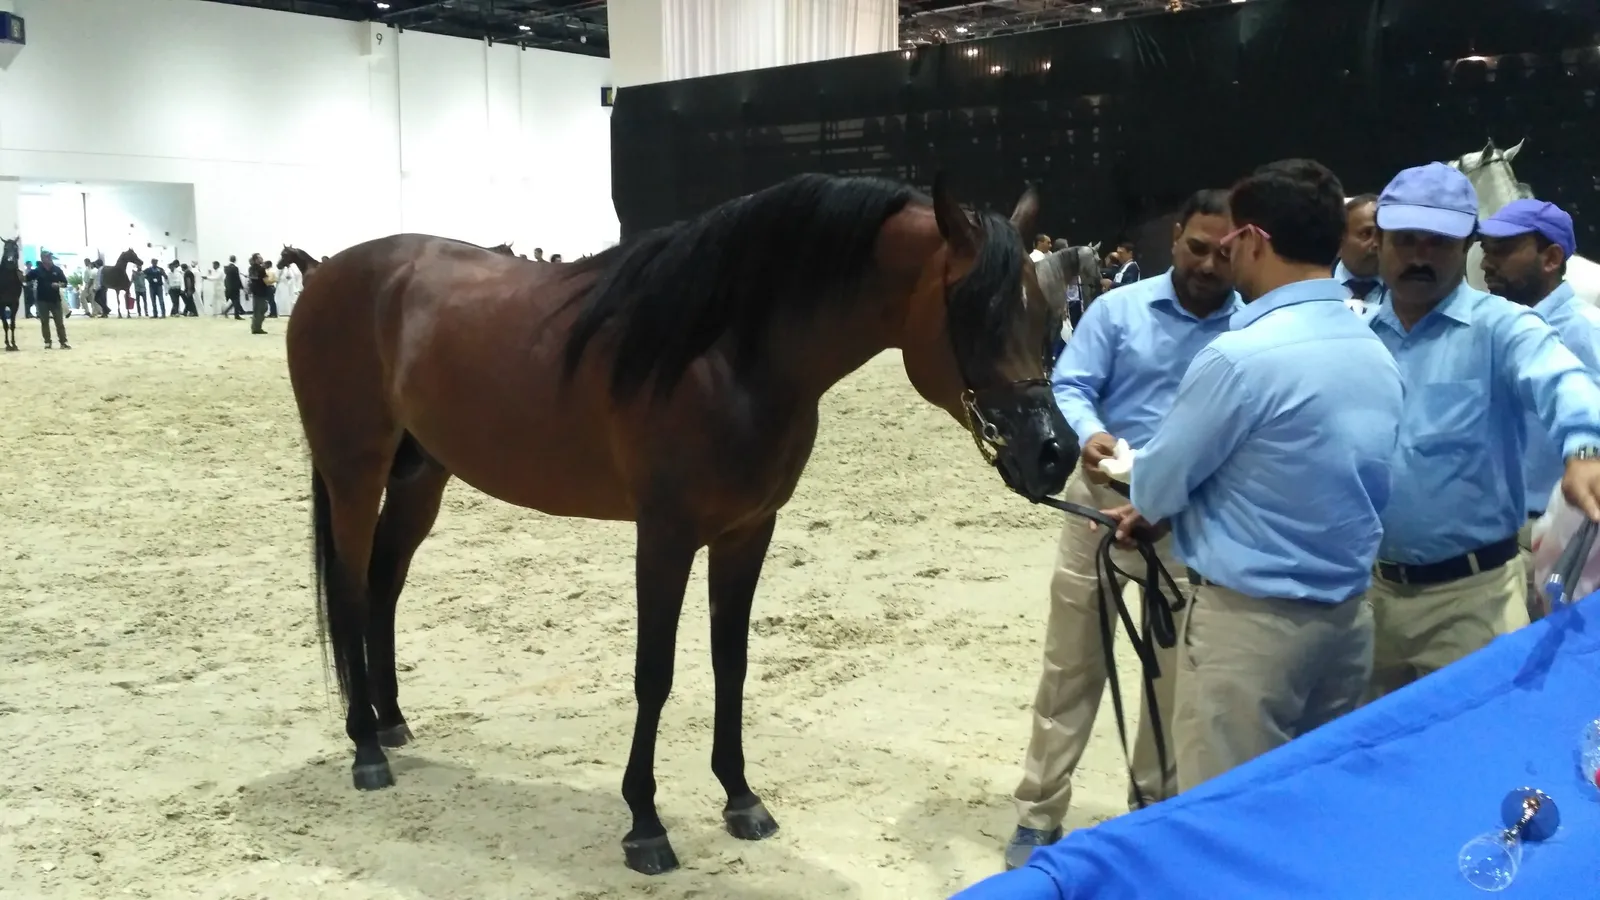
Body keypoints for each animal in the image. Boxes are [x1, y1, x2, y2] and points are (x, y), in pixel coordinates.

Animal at [286, 172, 1073, 877]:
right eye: (973, 313)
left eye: (1043, 313)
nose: (1053, 453)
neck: (721, 353)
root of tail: (327, 275)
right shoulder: (663, 536)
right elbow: (654, 674)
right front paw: (645, 824)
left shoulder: (747, 532)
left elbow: (732, 661)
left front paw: (741, 798)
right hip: (354, 472)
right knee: (352, 590)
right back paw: (366, 747)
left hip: (421, 477)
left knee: (384, 585)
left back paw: (392, 720)